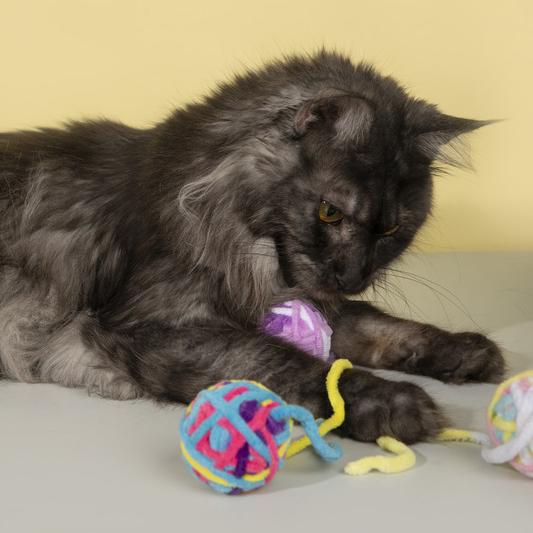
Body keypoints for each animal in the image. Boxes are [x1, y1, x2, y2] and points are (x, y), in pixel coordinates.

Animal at [0, 51, 502, 440]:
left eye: (391, 230)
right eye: (330, 213)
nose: (353, 276)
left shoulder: (301, 298)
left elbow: (381, 326)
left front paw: (464, 350)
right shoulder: (152, 325)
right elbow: (288, 361)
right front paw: (391, 401)